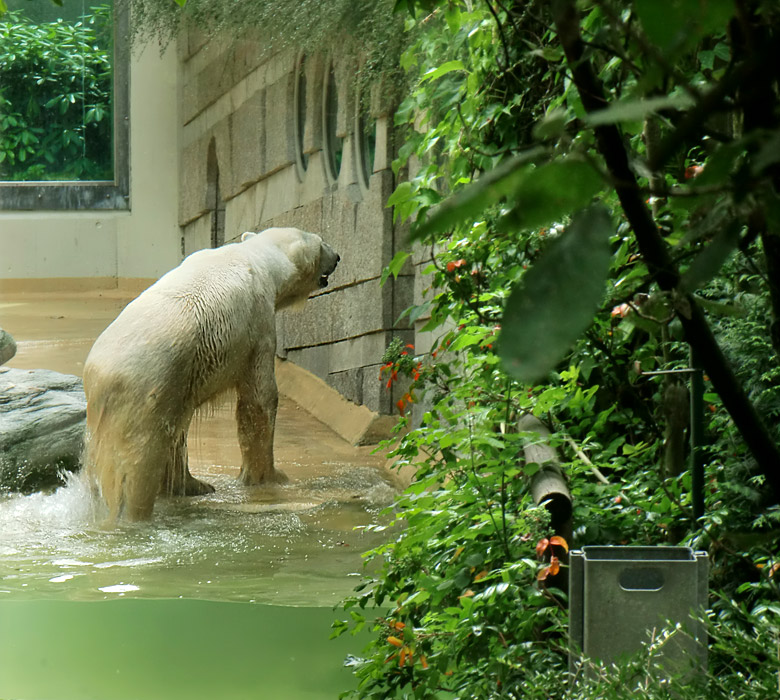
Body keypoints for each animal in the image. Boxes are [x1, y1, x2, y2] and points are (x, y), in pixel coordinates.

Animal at [80, 227, 340, 524]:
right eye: (322, 243)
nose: (338, 257)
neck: (255, 257)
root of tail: (99, 379)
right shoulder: (258, 324)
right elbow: (259, 400)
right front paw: (271, 477)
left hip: (165, 384)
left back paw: (193, 485)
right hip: (146, 390)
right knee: (138, 464)